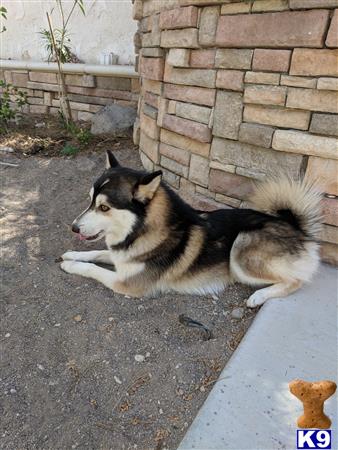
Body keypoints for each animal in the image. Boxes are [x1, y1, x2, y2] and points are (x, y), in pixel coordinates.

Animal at [60, 149, 322, 308]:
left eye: (104, 208)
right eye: (90, 201)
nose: (74, 228)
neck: (139, 232)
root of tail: (296, 227)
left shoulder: (129, 284)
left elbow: (94, 269)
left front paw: (71, 266)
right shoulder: (121, 257)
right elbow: (97, 253)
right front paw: (72, 254)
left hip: (240, 250)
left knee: (296, 281)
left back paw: (259, 296)